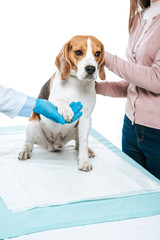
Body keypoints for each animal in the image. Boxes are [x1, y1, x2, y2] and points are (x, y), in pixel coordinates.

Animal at [18, 35, 105, 171]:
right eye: (78, 52)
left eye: (97, 53)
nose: (91, 69)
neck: (77, 82)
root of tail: (56, 144)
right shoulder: (53, 100)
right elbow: (59, 101)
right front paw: (65, 110)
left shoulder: (86, 117)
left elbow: (84, 142)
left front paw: (84, 160)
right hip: (32, 123)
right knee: (29, 142)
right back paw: (25, 151)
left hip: (83, 125)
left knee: (78, 144)